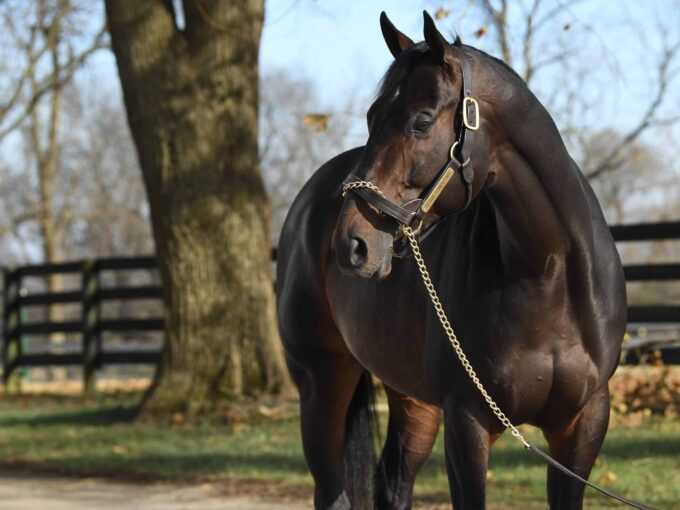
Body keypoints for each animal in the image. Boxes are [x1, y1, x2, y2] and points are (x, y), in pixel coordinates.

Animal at [276, 11, 628, 510]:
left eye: (422, 122)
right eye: (371, 117)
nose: (351, 244)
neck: (548, 272)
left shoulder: (582, 425)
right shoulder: (467, 421)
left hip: (413, 400)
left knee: (392, 483)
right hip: (320, 385)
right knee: (332, 490)